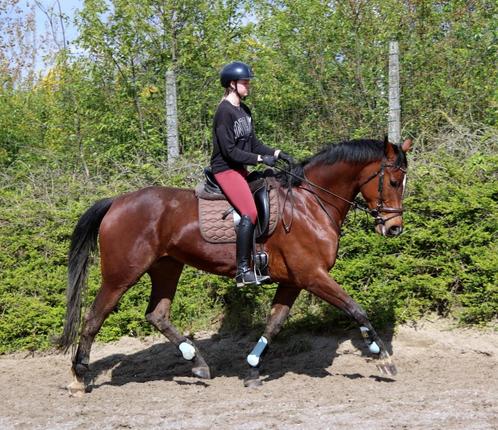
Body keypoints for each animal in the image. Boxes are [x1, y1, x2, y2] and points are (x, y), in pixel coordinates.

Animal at [57, 136, 412, 394]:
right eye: (394, 181)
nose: (394, 228)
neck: (310, 203)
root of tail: (116, 202)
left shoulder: (293, 280)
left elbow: (274, 323)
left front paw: (253, 367)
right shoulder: (313, 275)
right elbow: (356, 309)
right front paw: (384, 358)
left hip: (167, 267)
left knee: (157, 314)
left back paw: (197, 362)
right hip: (121, 275)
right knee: (93, 318)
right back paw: (80, 377)